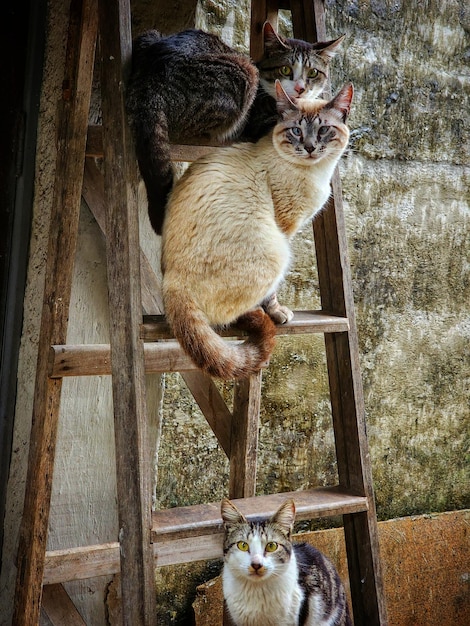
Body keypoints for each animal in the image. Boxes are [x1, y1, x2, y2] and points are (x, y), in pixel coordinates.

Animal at [162, 80, 352, 378]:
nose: (310, 147)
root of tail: (171, 280)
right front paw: (278, 313)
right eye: (296, 131)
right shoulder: (286, 224)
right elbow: (272, 295)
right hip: (277, 251)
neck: (316, 173)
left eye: (323, 130)